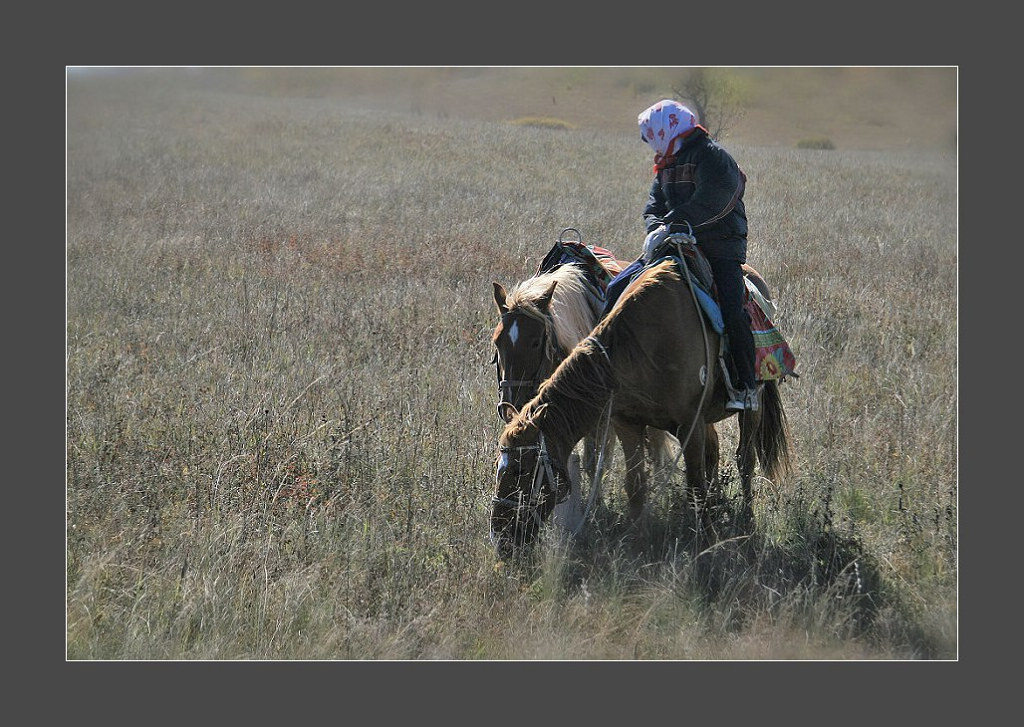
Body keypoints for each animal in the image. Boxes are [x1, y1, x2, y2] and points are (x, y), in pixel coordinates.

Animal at [487, 259, 790, 561]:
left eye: (520, 471)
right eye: (497, 342)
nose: (501, 538)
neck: (643, 344)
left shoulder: (689, 426)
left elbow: (695, 485)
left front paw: (706, 542)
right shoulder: (628, 425)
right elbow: (636, 486)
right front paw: (637, 541)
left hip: (752, 405)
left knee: (745, 459)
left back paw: (747, 519)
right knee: (713, 455)